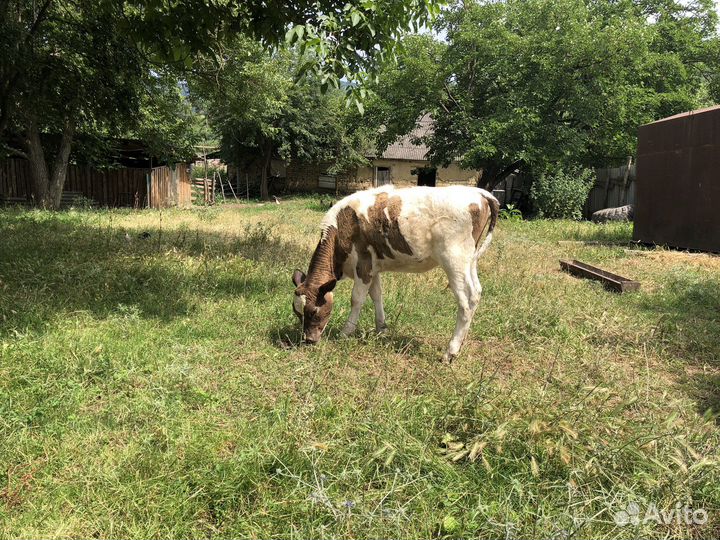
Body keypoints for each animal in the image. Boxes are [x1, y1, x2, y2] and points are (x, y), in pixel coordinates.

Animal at [291, 185, 499, 361]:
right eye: (297, 313)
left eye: (314, 312)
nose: (308, 340)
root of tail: (479, 192)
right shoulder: (373, 267)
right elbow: (376, 295)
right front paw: (381, 328)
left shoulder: (363, 264)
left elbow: (357, 299)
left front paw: (345, 332)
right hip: (469, 260)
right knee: (476, 293)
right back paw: (461, 343)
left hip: (454, 260)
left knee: (466, 301)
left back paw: (451, 351)